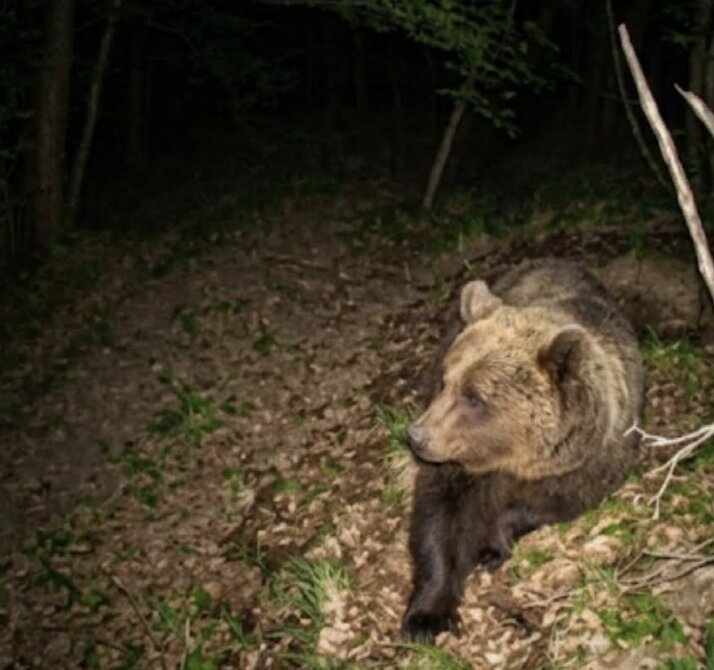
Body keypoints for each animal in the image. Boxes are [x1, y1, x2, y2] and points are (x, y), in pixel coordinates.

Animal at [401, 258, 644, 641]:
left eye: (473, 396)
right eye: (446, 381)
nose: (417, 436)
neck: (512, 460)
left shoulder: (587, 464)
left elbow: (545, 506)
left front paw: (491, 546)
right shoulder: (455, 469)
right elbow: (437, 522)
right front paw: (426, 618)